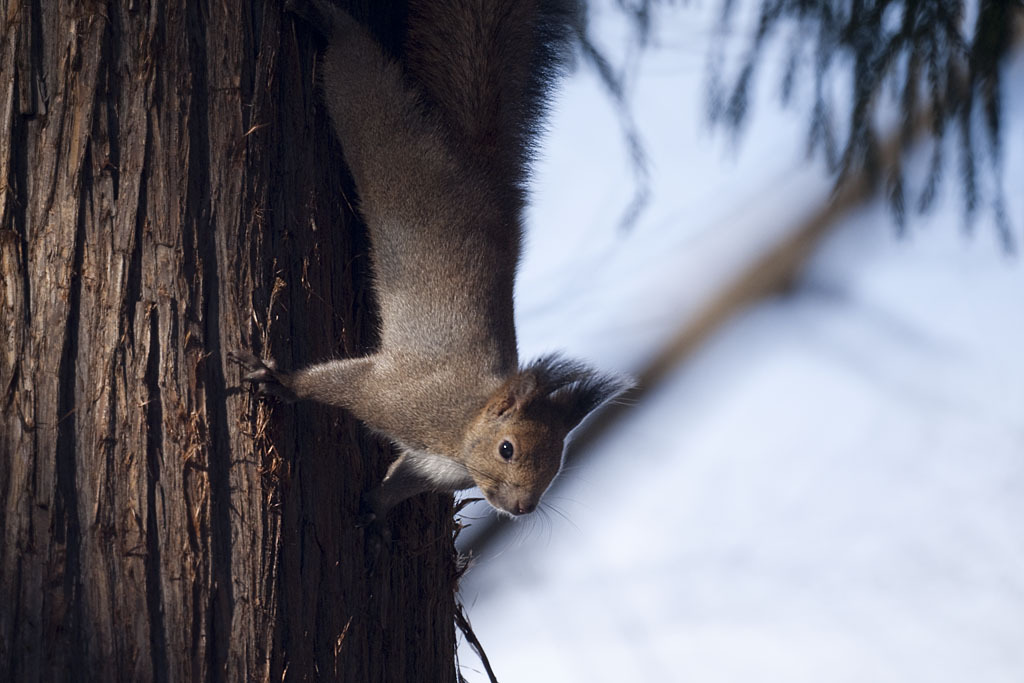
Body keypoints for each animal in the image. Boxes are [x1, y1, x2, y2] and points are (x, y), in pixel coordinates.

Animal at [233, 0, 630, 520]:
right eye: (507, 448)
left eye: (558, 459)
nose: (523, 508)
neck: (463, 427)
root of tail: (480, 179)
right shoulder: (396, 395)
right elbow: (338, 384)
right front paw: (280, 379)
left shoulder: (434, 467)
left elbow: (404, 478)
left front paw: (373, 510)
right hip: (390, 144)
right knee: (361, 76)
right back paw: (330, 21)